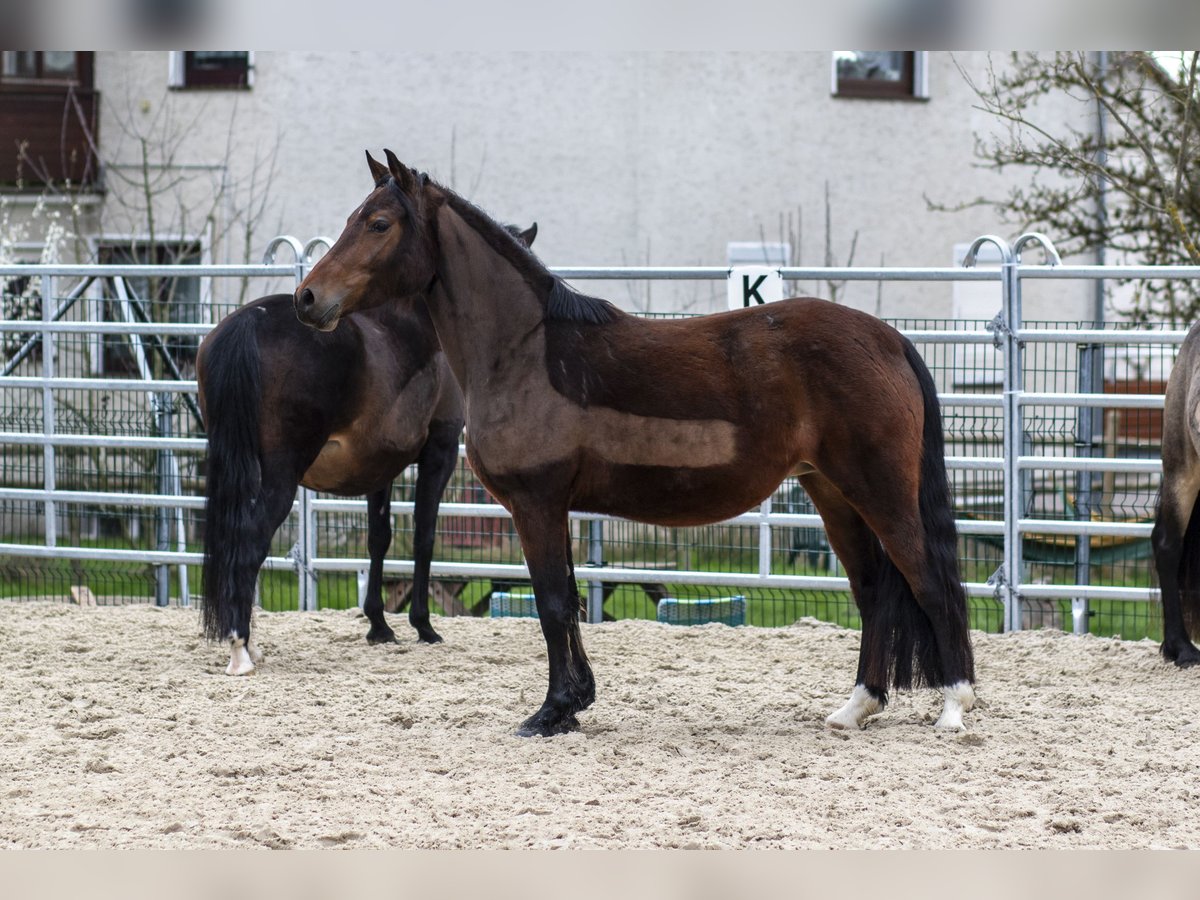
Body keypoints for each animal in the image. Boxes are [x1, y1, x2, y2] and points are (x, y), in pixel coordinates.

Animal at [195, 218, 540, 681]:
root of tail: (252, 320)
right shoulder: (440, 451)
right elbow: (424, 536)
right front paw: (423, 626)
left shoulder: (380, 465)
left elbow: (379, 538)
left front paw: (378, 625)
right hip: (280, 474)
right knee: (250, 544)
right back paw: (240, 651)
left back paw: (252, 644)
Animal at [290, 150, 974, 739]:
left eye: (379, 223)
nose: (307, 298)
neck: (524, 351)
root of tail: (888, 339)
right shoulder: (555, 508)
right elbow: (566, 601)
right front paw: (573, 703)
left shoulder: (535, 504)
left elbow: (553, 605)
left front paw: (552, 712)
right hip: (832, 492)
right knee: (872, 590)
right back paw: (856, 707)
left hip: (879, 491)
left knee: (929, 582)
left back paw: (954, 708)